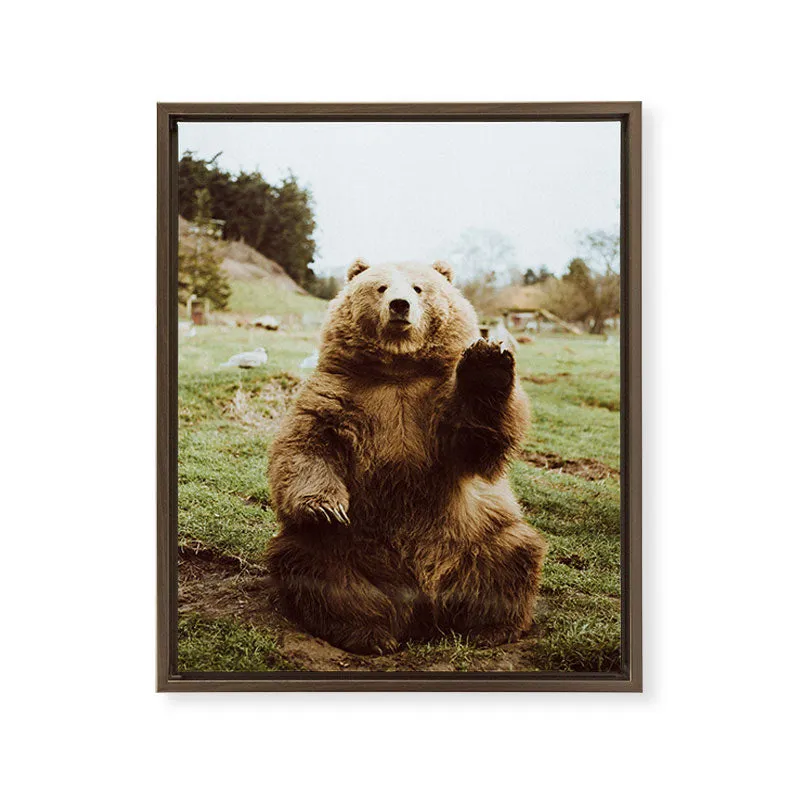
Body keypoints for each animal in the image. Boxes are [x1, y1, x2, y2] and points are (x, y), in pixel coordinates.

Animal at [265, 257, 546, 654]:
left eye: (418, 288)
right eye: (381, 287)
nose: (400, 305)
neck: (398, 370)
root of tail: (422, 604)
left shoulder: (433, 405)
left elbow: (477, 439)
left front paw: (487, 363)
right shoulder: (339, 394)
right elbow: (307, 445)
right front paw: (325, 507)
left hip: (475, 534)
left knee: (511, 555)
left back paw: (489, 628)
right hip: (349, 548)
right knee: (313, 566)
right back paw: (370, 633)